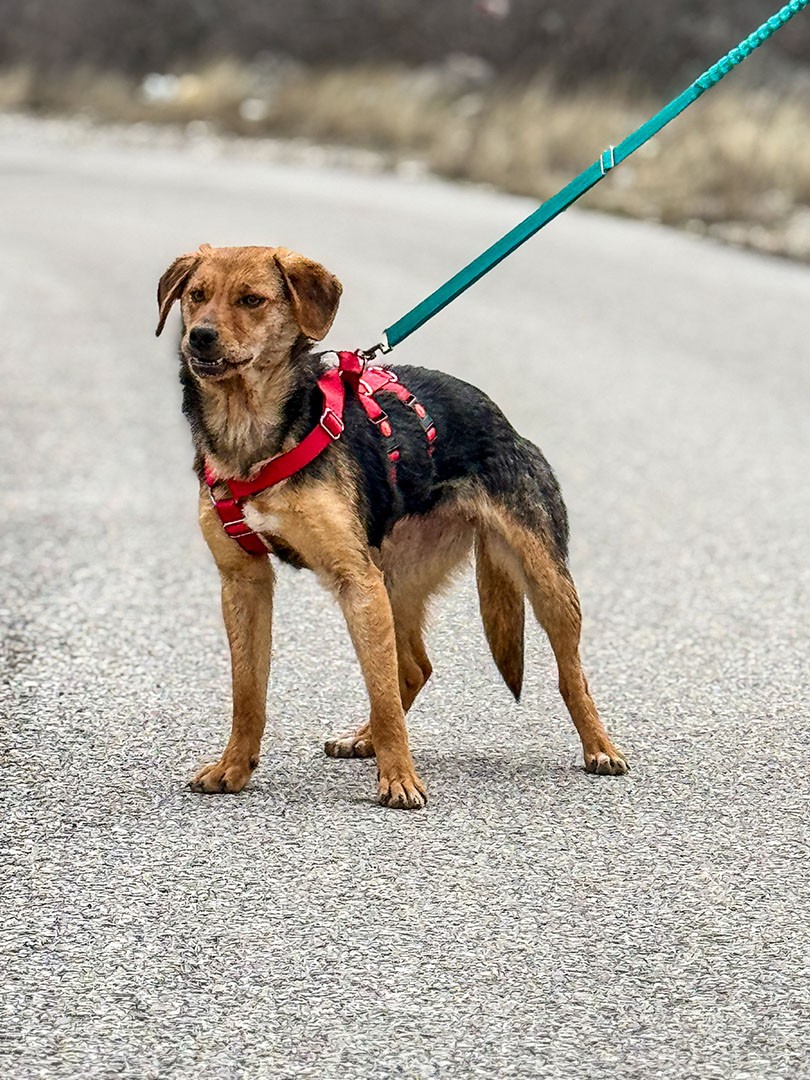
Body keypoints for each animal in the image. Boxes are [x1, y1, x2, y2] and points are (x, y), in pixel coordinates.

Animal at [156, 243, 628, 809]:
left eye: (251, 300)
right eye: (196, 295)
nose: (199, 336)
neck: (254, 435)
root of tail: (504, 422)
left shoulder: (354, 580)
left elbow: (379, 691)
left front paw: (399, 778)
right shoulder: (244, 581)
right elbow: (248, 692)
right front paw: (234, 768)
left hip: (542, 580)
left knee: (570, 674)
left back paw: (599, 747)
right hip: (393, 579)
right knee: (414, 666)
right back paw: (364, 739)